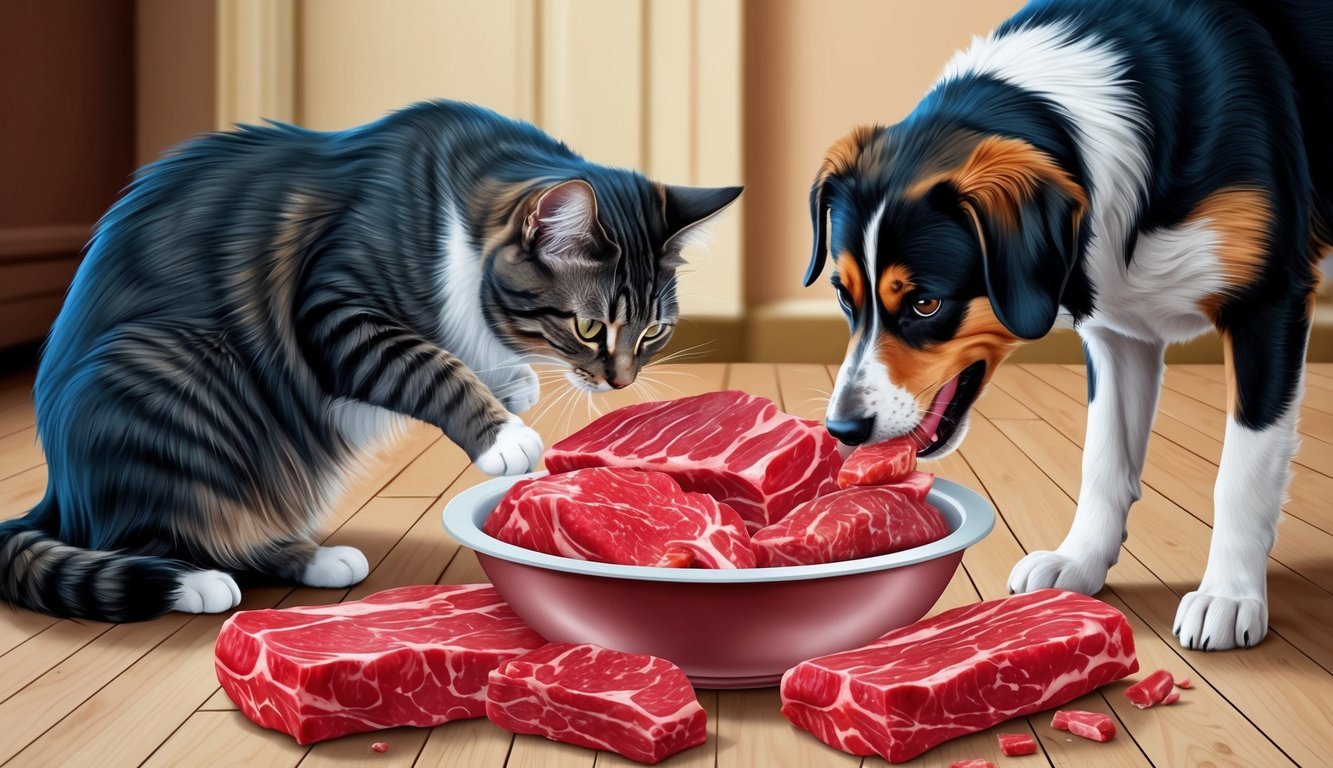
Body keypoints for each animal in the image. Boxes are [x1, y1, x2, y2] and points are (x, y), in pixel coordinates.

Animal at [0, 98, 741, 621]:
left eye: (653, 333)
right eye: (590, 327)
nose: (619, 381)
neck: (458, 220)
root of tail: (57, 492)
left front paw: (513, 383)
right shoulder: (335, 310)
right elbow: (430, 364)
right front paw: (504, 434)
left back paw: (315, 560)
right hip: (169, 379)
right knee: (158, 531)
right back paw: (199, 583)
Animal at [805, 0, 1327, 653]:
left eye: (926, 304)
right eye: (842, 295)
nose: (843, 429)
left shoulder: (1268, 302)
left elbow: (1244, 469)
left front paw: (1229, 596)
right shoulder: (1118, 332)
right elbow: (1104, 458)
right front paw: (1079, 563)